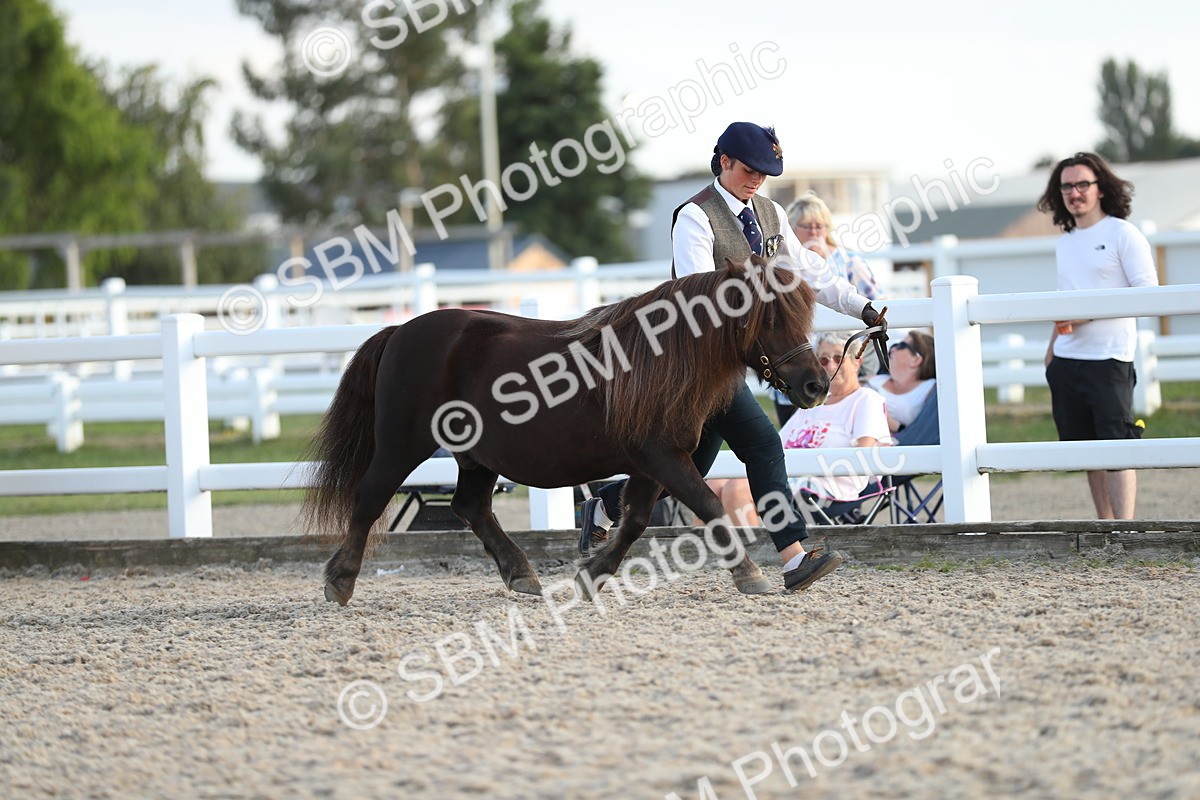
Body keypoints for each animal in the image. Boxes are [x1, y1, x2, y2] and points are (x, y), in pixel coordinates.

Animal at [302, 256, 828, 605]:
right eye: (770, 317)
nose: (816, 384)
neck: (660, 357)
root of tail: (401, 331)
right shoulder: (662, 458)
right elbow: (711, 507)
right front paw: (750, 574)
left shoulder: (651, 465)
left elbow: (635, 519)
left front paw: (593, 575)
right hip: (401, 444)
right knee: (370, 496)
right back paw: (340, 581)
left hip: (476, 456)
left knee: (470, 507)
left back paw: (522, 575)